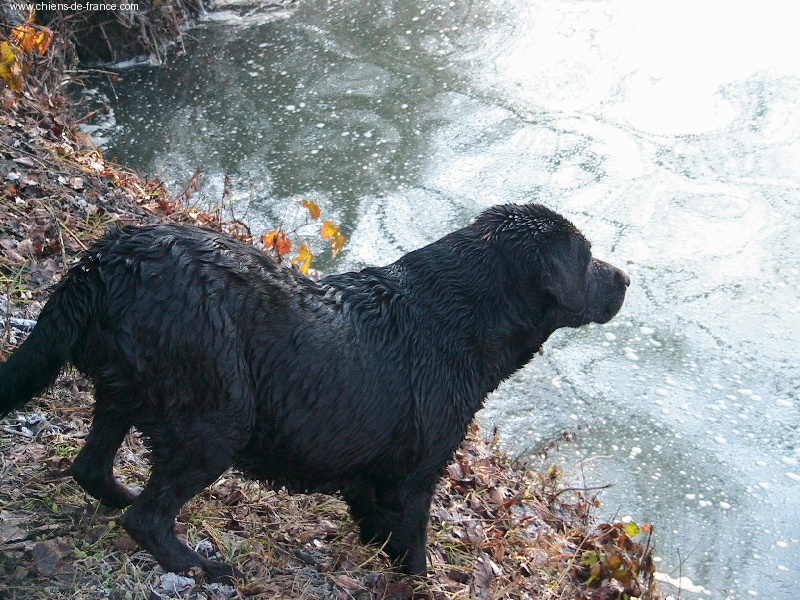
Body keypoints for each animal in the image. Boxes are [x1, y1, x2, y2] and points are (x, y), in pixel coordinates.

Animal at [0, 204, 628, 580]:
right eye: (587, 257)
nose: (625, 277)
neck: (451, 324)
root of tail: (102, 262)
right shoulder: (417, 472)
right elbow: (415, 547)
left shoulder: (370, 475)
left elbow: (379, 529)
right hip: (217, 417)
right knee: (148, 517)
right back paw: (208, 566)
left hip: (127, 390)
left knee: (92, 468)